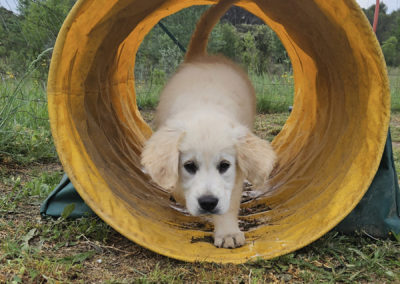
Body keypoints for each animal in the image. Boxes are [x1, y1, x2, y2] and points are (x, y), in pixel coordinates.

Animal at [141, 0, 276, 247]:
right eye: (189, 166)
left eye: (224, 165)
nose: (207, 203)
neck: (205, 107)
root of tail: (201, 58)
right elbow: (181, 187)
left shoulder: (234, 177)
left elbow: (229, 202)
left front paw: (228, 232)